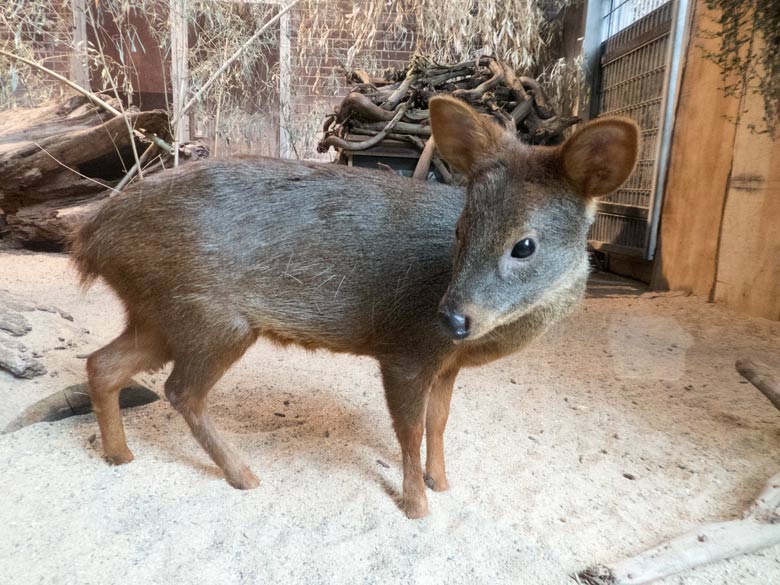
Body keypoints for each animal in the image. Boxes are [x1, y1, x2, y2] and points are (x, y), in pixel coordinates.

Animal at [70, 96, 636, 516]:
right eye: (461, 229)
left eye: (524, 245)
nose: (452, 316)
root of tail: (91, 238)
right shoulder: (406, 350)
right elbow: (409, 429)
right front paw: (417, 506)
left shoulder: (446, 364)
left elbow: (439, 423)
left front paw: (442, 482)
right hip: (211, 317)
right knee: (179, 390)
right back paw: (244, 474)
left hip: (160, 314)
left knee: (102, 364)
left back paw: (120, 454)